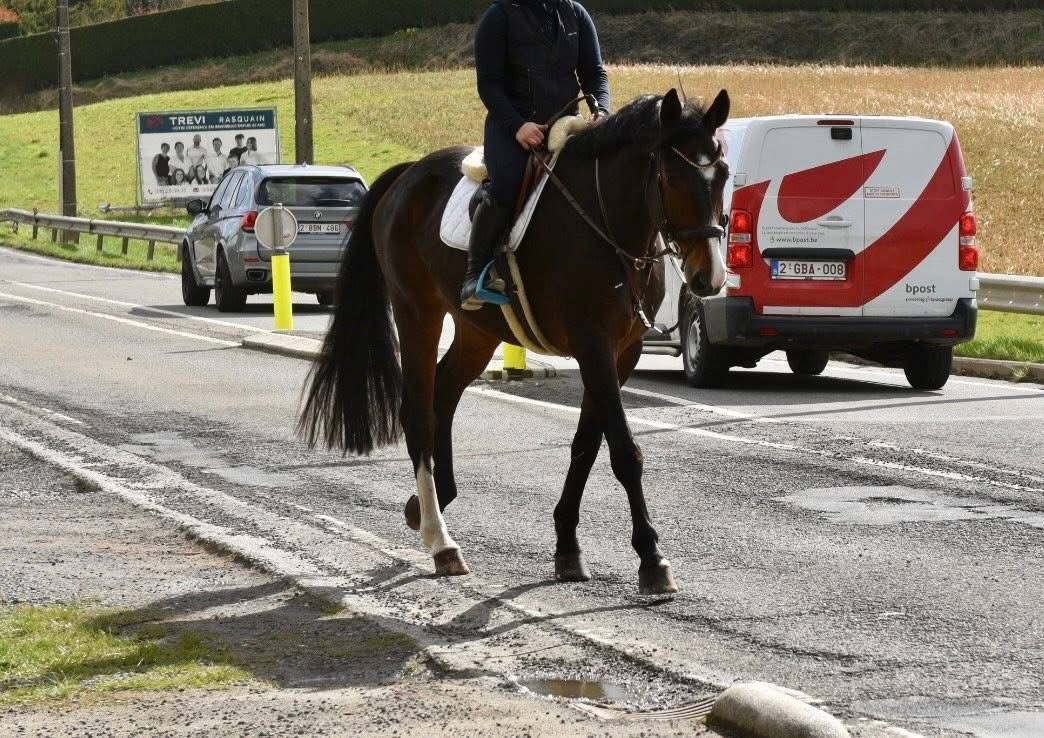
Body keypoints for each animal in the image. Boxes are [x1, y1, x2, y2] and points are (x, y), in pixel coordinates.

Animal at [299, 88, 731, 595]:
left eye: (722, 174)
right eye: (671, 177)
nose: (709, 277)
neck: (606, 220)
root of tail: (409, 174)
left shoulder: (622, 352)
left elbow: (586, 445)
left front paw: (567, 548)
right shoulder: (593, 344)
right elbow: (625, 451)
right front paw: (651, 558)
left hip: (476, 331)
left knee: (444, 394)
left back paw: (428, 504)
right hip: (416, 312)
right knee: (419, 411)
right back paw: (441, 540)